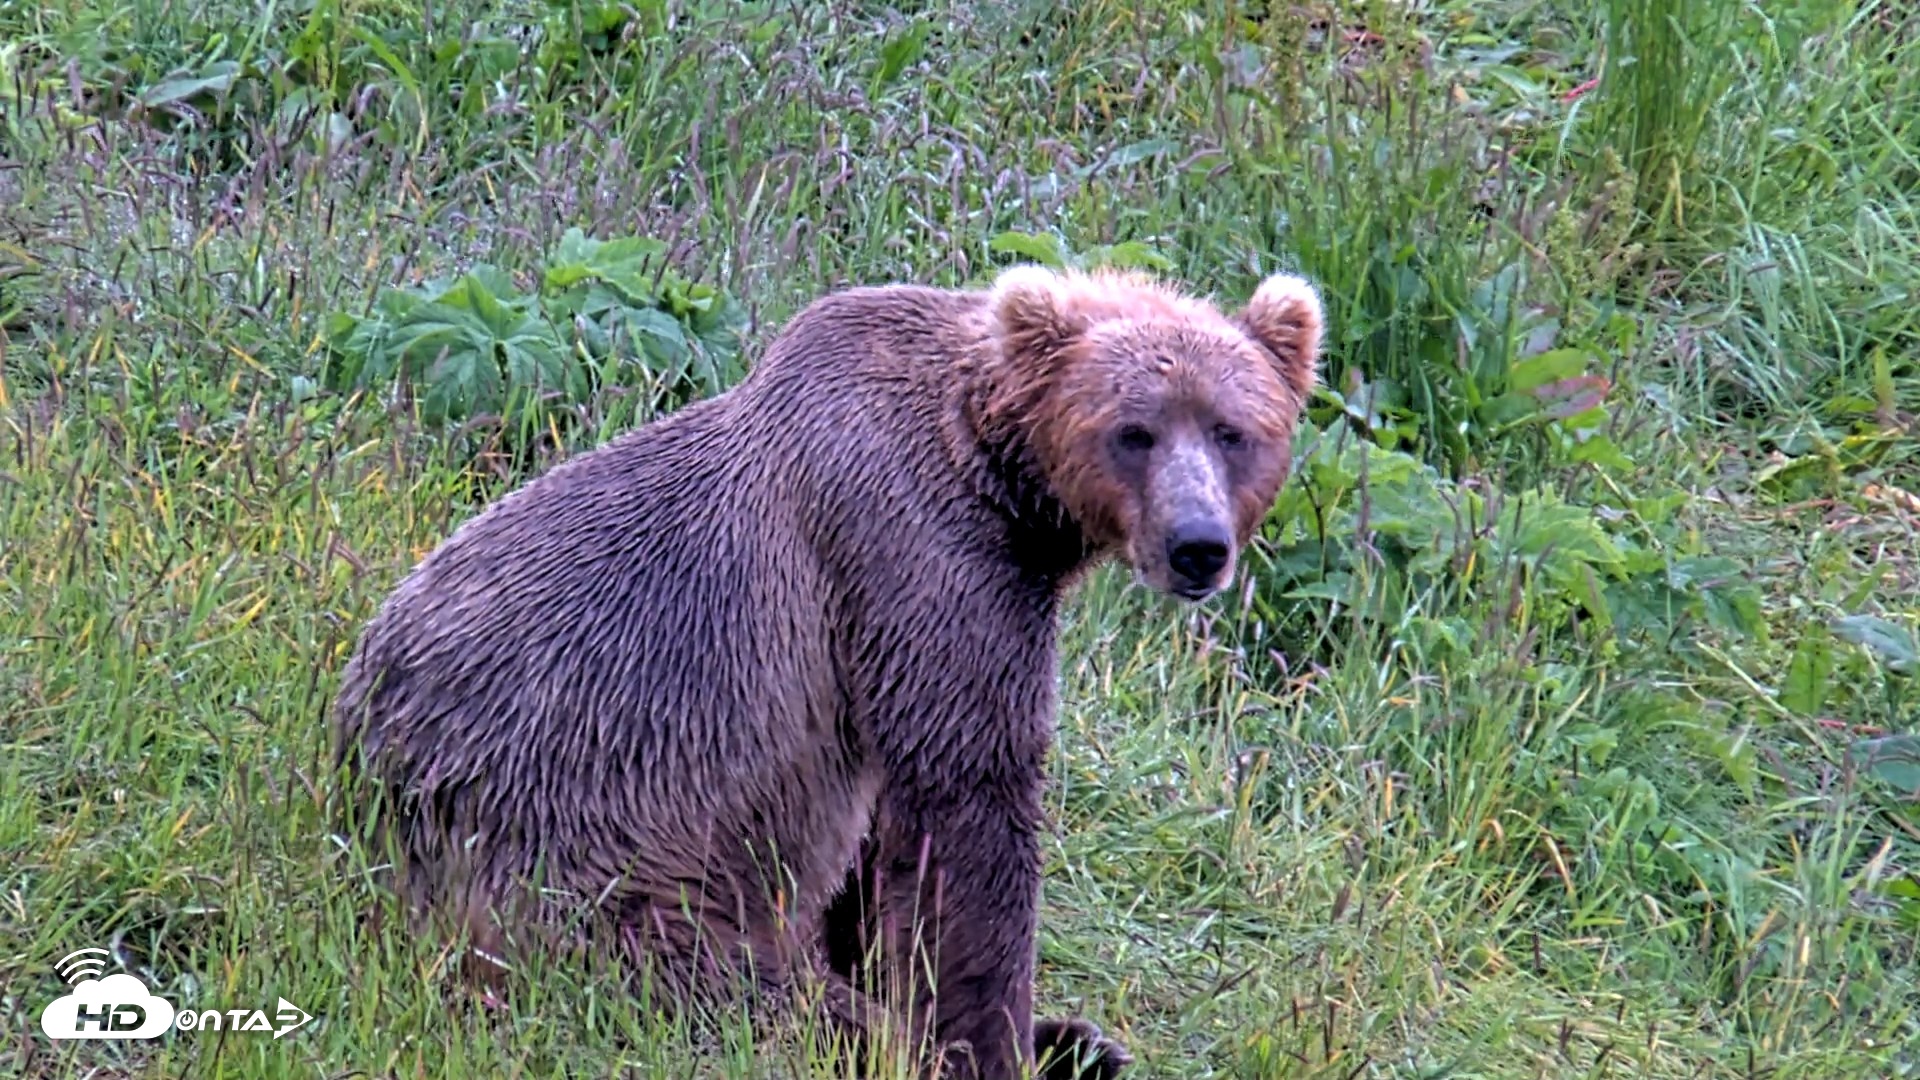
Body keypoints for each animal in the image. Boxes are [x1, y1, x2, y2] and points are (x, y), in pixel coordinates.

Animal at [330, 262, 1326, 1079]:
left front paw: (1026, 1026)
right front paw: (986, 1043)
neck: (998, 478)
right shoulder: (912, 547)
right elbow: (968, 801)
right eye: (1134, 431)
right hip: (571, 868)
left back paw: (1077, 1045)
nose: (1197, 546)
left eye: (1233, 431)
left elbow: (887, 834)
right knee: (729, 986)